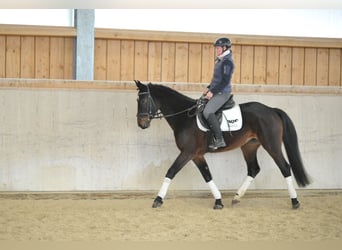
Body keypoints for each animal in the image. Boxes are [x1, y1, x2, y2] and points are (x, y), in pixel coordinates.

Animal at [135, 80, 312, 209]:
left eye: (143, 100)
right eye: (138, 99)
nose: (141, 124)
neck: (185, 117)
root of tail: (272, 110)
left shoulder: (187, 153)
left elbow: (171, 171)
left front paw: (158, 199)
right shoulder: (197, 155)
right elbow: (207, 176)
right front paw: (219, 201)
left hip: (272, 145)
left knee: (285, 168)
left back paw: (295, 202)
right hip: (249, 146)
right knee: (253, 169)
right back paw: (236, 197)